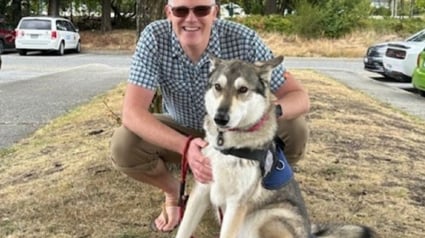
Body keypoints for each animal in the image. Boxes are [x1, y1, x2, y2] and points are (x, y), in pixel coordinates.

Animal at [174, 56, 376, 238]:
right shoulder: (201, 190)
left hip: (268, 217)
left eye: (243, 89)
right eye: (218, 87)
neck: (228, 146)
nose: (220, 118)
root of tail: (310, 234)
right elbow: (183, 231)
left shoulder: (236, 204)